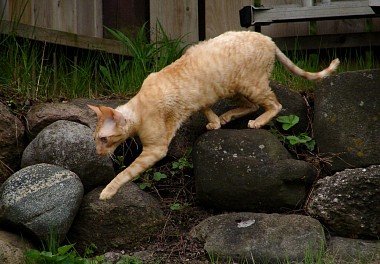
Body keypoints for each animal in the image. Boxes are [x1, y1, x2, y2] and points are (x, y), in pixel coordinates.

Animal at [90, 31, 342, 199]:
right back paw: (226, 117)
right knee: (251, 105)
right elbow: (205, 107)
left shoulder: (156, 148)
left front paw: (107, 191)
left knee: (274, 104)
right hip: (234, 88)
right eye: (96, 140)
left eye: (103, 139)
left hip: (251, 84)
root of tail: (268, 38)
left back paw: (257, 122)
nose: (98, 153)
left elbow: (126, 172)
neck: (139, 106)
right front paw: (213, 123)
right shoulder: (200, 97)